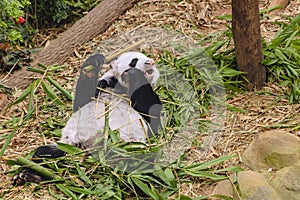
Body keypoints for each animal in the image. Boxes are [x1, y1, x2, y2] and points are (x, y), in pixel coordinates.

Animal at [12, 52, 162, 186]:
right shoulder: (101, 88)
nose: (150, 62)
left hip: (128, 148)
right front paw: (93, 63)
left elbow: (153, 120)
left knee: (137, 162)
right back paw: (29, 176)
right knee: (44, 154)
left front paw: (135, 75)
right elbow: (81, 99)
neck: (120, 88)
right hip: (68, 146)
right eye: (134, 60)